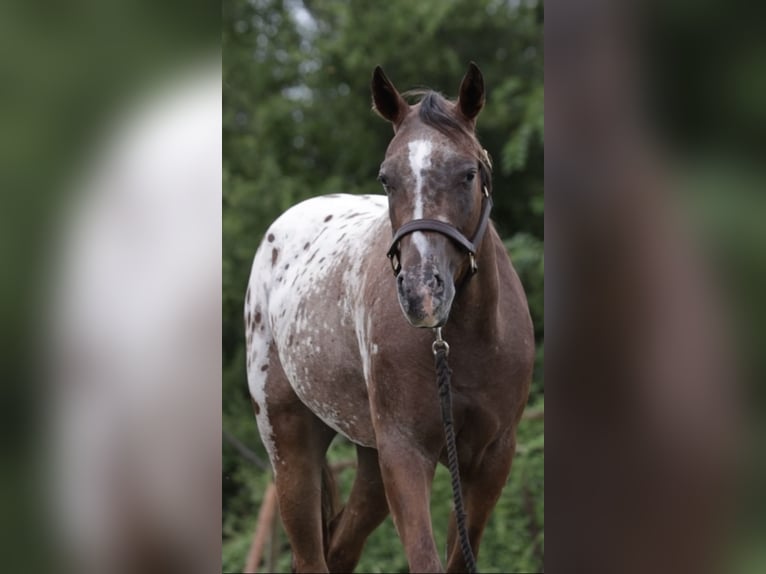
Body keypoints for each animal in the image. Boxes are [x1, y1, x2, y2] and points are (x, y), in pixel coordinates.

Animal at [244, 62, 534, 573]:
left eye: (468, 173)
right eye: (386, 179)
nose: (421, 292)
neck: (464, 344)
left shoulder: (491, 459)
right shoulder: (405, 452)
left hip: (369, 460)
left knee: (341, 549)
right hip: (290, 445)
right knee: (313, 555)